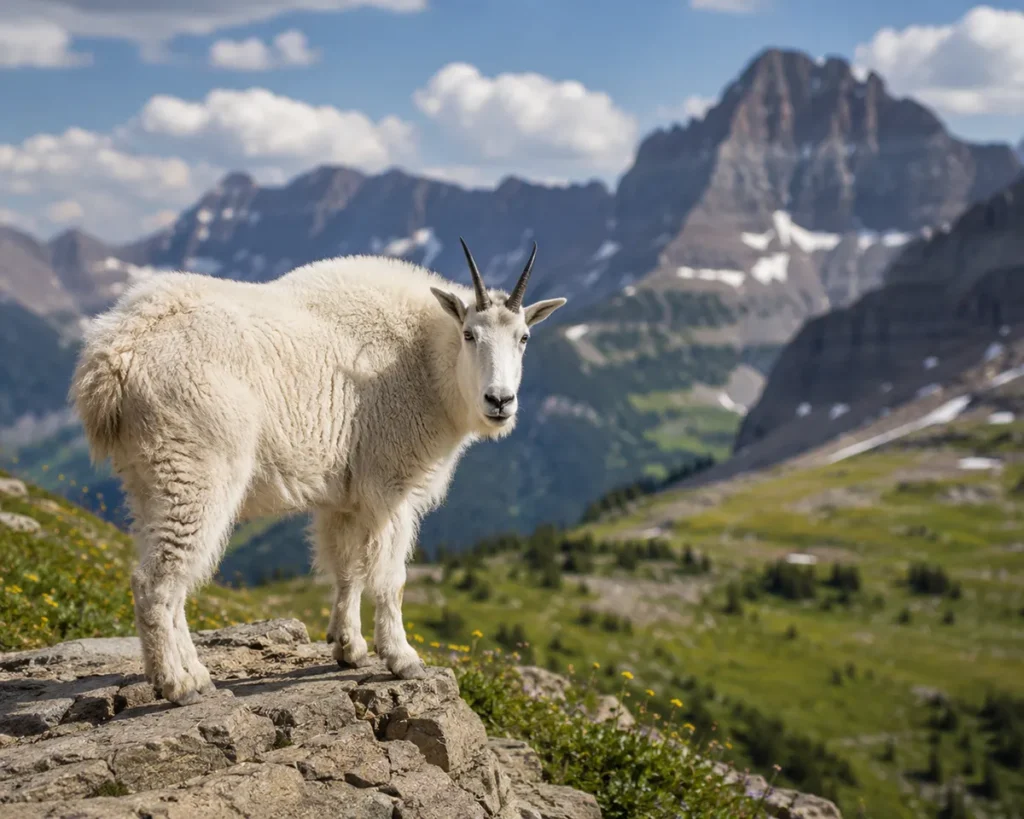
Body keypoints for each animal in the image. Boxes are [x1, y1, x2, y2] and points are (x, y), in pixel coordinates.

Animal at [70, 240, 566, 704]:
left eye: (524, 337)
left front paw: (349, 648)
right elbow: (390, 578)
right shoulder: (390, 486)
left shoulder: (343, 497)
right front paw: (402, 658)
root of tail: (114, 355)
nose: (499, 401)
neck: (425, 361)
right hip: (194, 471)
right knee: (158, 580)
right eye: (469, 334)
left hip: (147, 479)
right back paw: (176, 684)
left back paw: (195, 674)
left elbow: (346, 569)